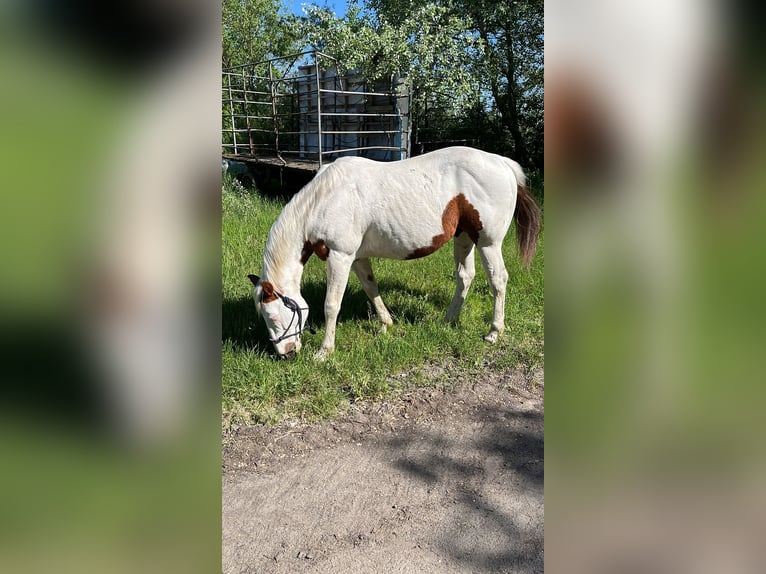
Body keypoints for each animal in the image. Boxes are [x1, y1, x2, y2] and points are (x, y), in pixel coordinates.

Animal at [249, 147, 544, 360]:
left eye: (273, 316)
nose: (285, 354)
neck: (325, 198)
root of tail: (502, 163)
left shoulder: (340, 256)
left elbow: (331, 304)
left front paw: (324, 351)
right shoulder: (357, 258)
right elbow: (371, 289)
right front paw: (386, 324)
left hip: (488, 243)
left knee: (498, 281)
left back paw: (494, 331)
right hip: (464, 237)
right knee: (465, 276)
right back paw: (448, 319)